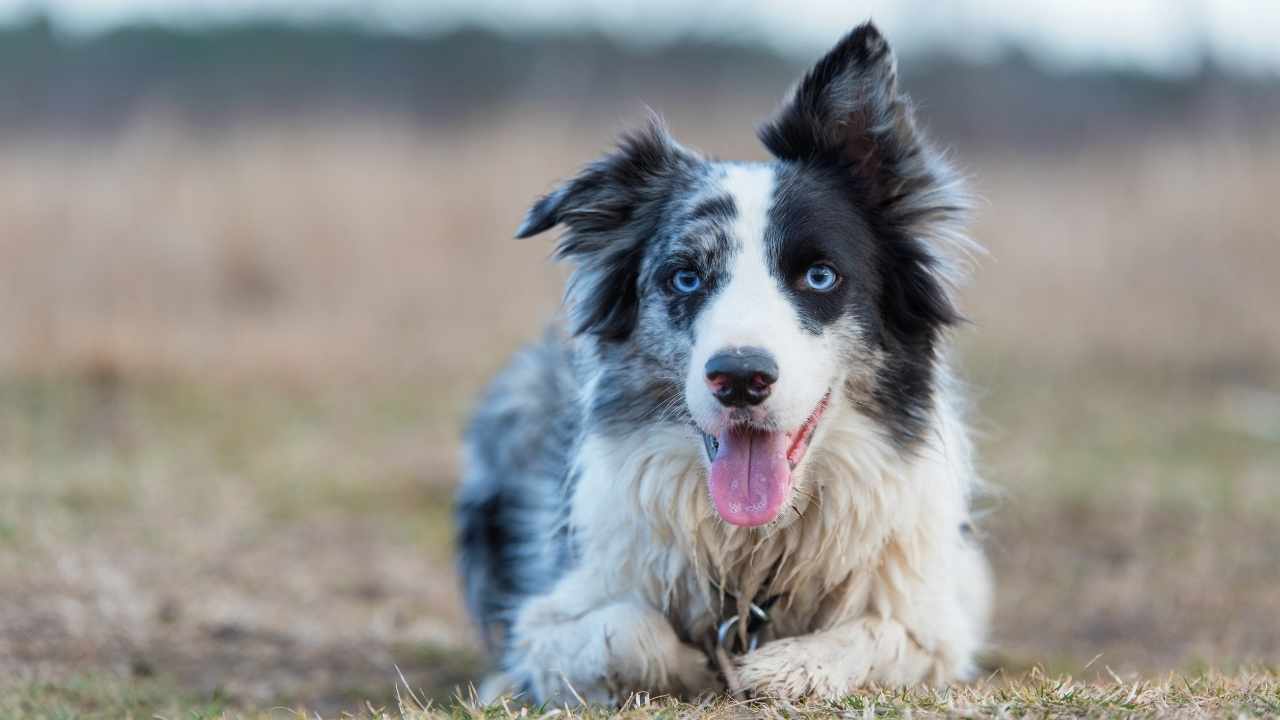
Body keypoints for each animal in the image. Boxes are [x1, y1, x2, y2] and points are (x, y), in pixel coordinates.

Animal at [455, 22, 993, 702]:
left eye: (819, 276)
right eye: (685, 277)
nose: (739, 378)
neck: (752, 553)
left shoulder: (937, 619)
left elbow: (876, 634)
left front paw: (785, 666)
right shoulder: (552, 611)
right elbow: (625, 631)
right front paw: (697, 667)